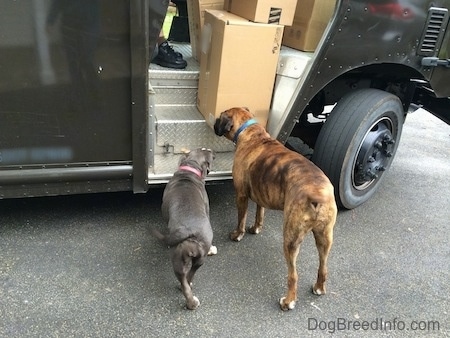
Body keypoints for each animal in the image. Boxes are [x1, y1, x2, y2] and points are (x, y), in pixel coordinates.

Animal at [153, 147, 218, 310]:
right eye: (206, 151)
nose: (212, 151)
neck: (189, 169)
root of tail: (189, 232)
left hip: (186, 260)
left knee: (185, 280)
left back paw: (191, 302)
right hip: (196, 260)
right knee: (187, 279)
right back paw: (192, 301)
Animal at [214, 107, 338, 310]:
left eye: (220, 117)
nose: (214, 122)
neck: (250, 132)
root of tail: (318, 195)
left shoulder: (241, 195)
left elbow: (241, 219)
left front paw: (238, 234)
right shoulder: (260, 195)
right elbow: (259, 213)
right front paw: (256, 228)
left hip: (291, 239)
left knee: (293, 275)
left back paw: (288, 301)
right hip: (325, 238)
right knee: (323, 267)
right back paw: (319, 287)